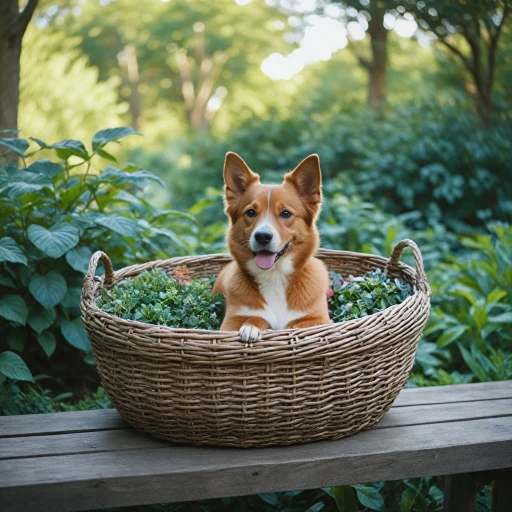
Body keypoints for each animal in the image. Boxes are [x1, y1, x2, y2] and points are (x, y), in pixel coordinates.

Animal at [213, 153, 330, 344]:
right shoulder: (229, 324)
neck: (274, 275)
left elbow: (300, 325)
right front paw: (251, 326)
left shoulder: (319, 320)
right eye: (251, 212)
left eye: (286, 213)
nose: (262, 236)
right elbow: (256, 316)